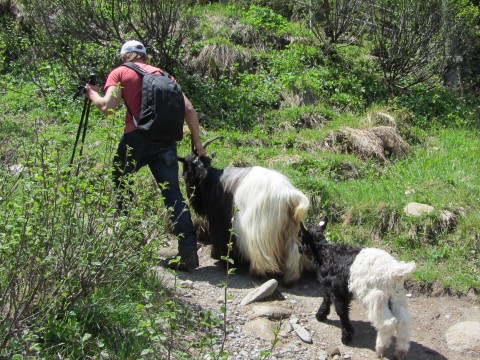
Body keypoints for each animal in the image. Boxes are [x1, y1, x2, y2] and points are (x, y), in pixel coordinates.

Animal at [179, 137, 312, 284]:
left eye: (187, 166)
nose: (183, 176)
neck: (210, 179)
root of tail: (289, 194)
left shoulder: (220, 220)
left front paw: (221, 258)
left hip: (260, 229)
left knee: (260, 252)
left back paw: (258, 272)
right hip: (292, 226)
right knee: (294, 249)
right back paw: (291, 278)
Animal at [300, 219, 416, 360]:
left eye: (300, 236)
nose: (298, 249)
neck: (325, 254)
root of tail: (395, 272)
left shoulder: (338, 292)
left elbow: (341, 311)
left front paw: (346, 336)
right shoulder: (332, 288)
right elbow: (327, 299)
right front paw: (320, 315)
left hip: (377, 297)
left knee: (387, 323)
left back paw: (381, 349)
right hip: (396, 295)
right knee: (403, 321)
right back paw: (400, 352)